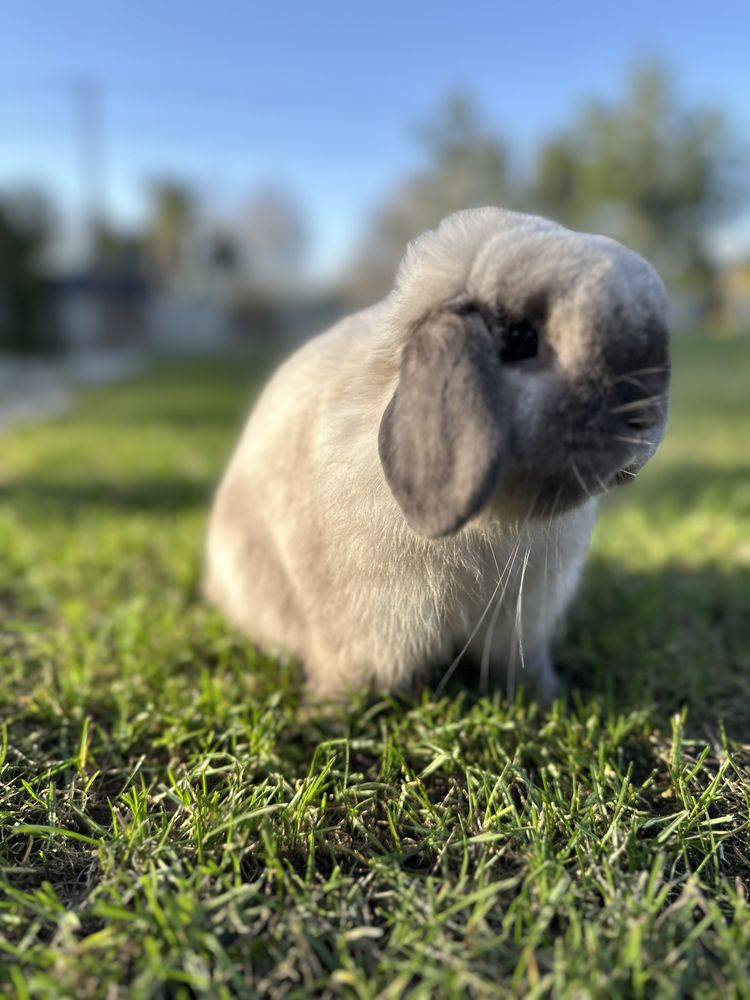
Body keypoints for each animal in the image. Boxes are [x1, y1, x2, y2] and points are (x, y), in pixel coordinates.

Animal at [204, 207, 668, 700]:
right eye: (521, 337)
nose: (646, 417)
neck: (489, 528)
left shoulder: (522, 624)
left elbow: (523, 666)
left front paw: (547, 697)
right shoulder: (362, 630)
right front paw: (327, 712)